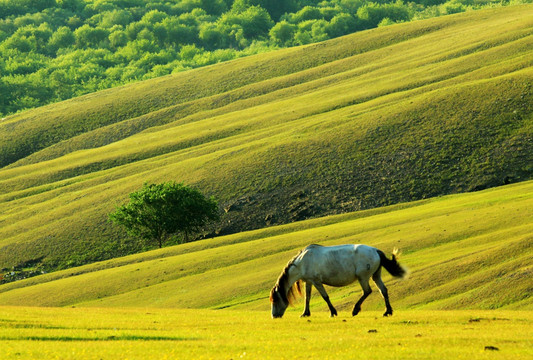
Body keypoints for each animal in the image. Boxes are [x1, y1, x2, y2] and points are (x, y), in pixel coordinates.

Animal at [270, 245, 408, 318]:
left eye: (275, 300)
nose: (274, 316)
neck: (303, 262)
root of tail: (376, 251)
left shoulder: (316, 281)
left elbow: (325, 297)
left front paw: (333, 312)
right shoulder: (308, 282)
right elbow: (307, 298)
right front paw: (305, 313)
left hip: (363, 277)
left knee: (367, 291)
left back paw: (355, 310)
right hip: (376, 276)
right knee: (383, 290)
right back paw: (387, 312)